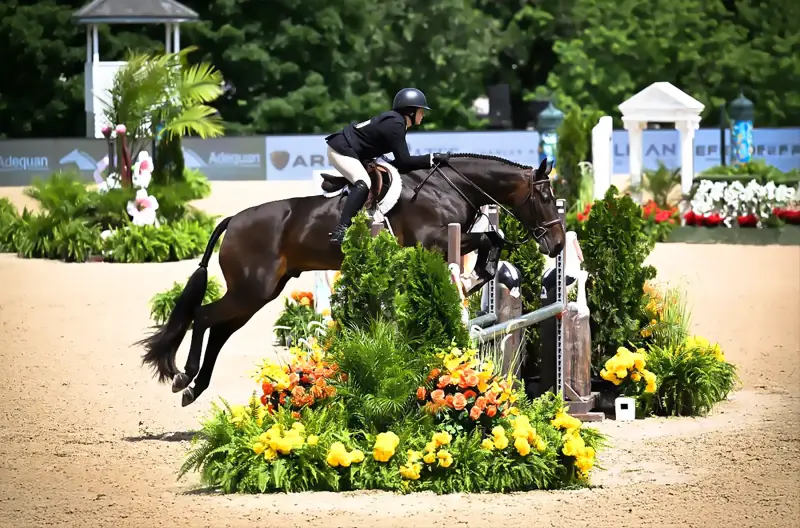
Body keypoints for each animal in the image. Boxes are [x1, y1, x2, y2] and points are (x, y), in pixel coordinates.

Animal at [137, 154, 566, 407]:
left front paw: (482, 273)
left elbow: (495, 238)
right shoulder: (433, 241)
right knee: (205, 317)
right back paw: (184, 377)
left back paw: (195, 388)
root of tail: (233, 220)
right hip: (250, 289)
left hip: (260, 291)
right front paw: (478, 273)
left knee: (221, 329)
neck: (449, 187)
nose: (559, 243)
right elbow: (493, 237)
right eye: (545, 197)